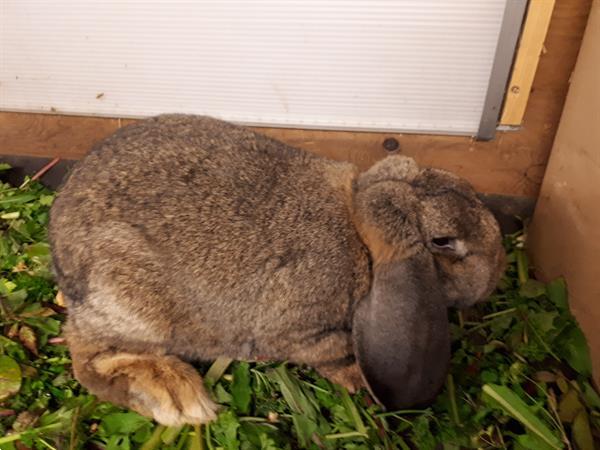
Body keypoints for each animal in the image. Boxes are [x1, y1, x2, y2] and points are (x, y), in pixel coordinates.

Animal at [49, 115, 504, 426]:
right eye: (443, 241)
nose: (496, 274)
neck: (359, 234)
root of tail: (61, 254)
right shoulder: (304, 330)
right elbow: (334, 356)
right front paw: (361, 383)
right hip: (134, 307)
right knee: (86, 358)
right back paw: (176, 396)